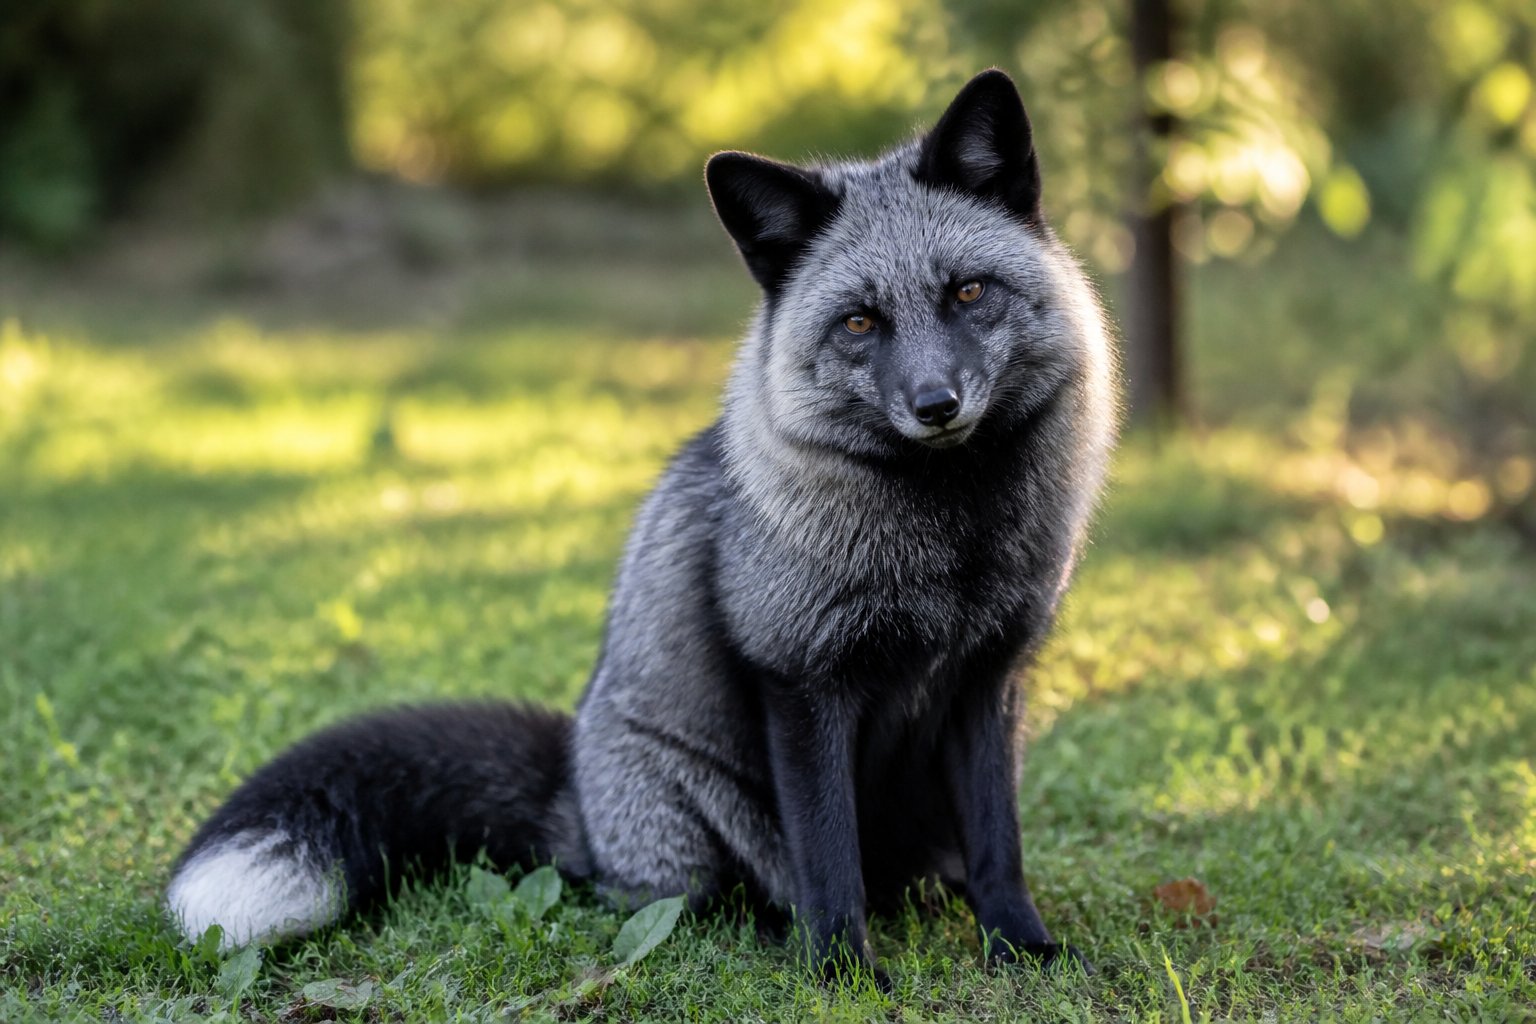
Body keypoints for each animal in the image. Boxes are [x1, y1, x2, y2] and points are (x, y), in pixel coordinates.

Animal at [166, 69, 1118, 984]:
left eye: (968, 291)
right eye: (860, 322)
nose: (935, 405)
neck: (950, 547)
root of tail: (576, 802)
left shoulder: (988, 680)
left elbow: (1000, 848)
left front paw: (1022, 949)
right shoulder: (801, 680)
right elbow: (829, 862)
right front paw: (843, 972)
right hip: (692, 829)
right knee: (715, 899)